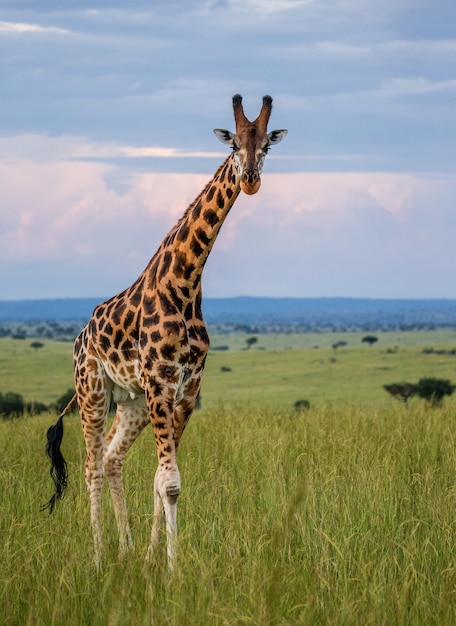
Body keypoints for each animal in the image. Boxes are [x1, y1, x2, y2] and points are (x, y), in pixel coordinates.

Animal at [41, 92, 284, 564]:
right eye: (233, 145)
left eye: (266, 146)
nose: (249, 180)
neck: (185, 284)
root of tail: (79, 339)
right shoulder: (160, 379)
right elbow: (169, 483)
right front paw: (173, 568)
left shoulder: (186, 385)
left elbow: (160, 479)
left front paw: (155, 559)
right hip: (91, 390)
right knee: (91, 466)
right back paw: (100, 557)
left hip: (130, 401)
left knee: (112, 459)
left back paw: (127, 550)